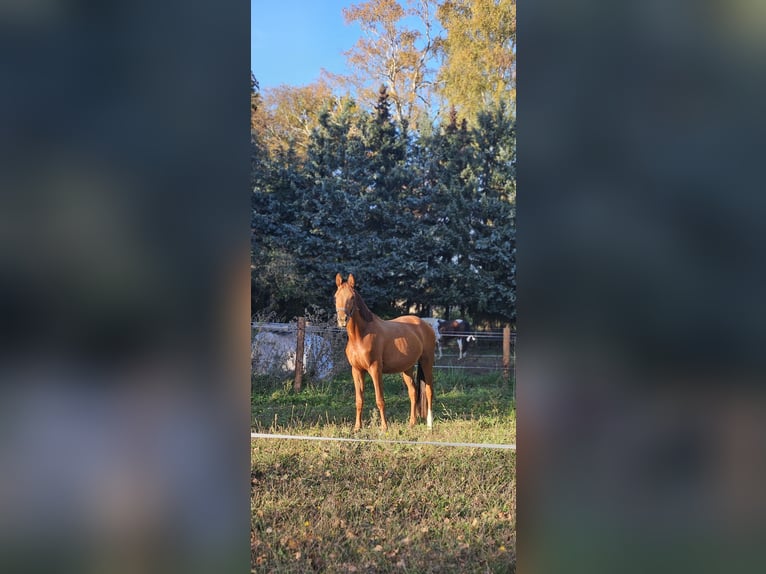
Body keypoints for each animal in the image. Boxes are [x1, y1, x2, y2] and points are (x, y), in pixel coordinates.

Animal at [332, 276, 436, 432]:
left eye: (352, 297)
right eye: (335, 297)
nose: (342, 319)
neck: (361, 336)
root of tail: (425, 325)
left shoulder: (375, 369)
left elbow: (380, 399)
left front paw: (384, 427)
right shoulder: (356, 370)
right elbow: (359, 400)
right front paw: (357, 427)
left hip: (426, 362)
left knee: (429, 391)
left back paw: (429, 424)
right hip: (407, 368)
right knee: (413, 392)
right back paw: (412, 423)